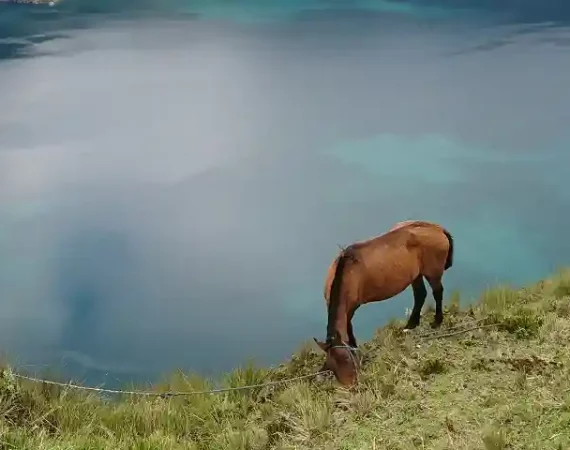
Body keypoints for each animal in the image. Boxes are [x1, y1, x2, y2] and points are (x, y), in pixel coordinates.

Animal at [310, 220, 452, 384]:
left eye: (347, 359)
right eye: (332, 366)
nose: (351, 386)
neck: (345, 273)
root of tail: (438, 228)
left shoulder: (351, 308)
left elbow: (349, 330)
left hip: (433, 272)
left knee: (437, 292)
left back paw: (437, 320)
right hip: (416, 274)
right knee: (420, 294)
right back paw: (411, 324)